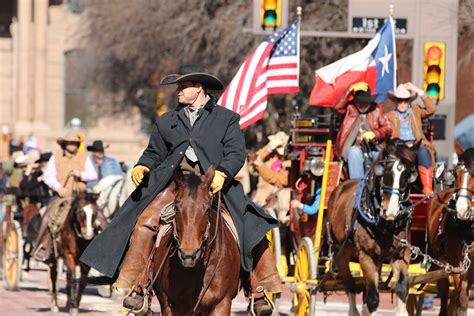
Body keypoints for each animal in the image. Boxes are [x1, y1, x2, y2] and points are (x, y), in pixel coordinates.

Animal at [326, 139, 418, 316]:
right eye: (385, 171)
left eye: (408, 174)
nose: (391, 211)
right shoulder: (366, 255)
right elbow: (373, 298)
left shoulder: (401, 253)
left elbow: (402, 289)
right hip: (342, 252)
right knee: (350, 285)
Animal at [428, 148, 472, 316]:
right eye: (456, 173)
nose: (461, 209)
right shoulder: (457, 263)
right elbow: (462, 300)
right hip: (440, 261)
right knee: (447, 293)